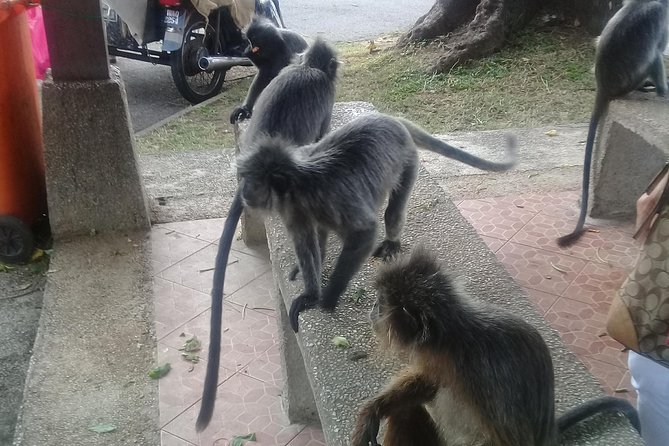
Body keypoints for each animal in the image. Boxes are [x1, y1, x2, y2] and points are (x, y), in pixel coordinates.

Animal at [235, 113, 518, 333]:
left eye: (252, 181)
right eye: (244, 178)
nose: (244, 190)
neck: (300, 183)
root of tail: (391, 119)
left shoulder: (330, 197)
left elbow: (365, 233)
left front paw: (329, 296)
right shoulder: (294, 209)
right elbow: (305, 240)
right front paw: (310, 295)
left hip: (408, 160)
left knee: (392, 212)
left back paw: (392, 241)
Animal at [351, 246, 641, 446]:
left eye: (381, 303)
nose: (373, 309)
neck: (454, 342)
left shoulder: (487, 374)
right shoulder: (439, 359)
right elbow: (428, 382)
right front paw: (372, 410)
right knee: (407, 410)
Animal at [557, 0, 668, 247]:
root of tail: (604, 85)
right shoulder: (660, 14)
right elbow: (660, 48)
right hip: (631, 80)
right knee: (654, 55)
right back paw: (658, 90)